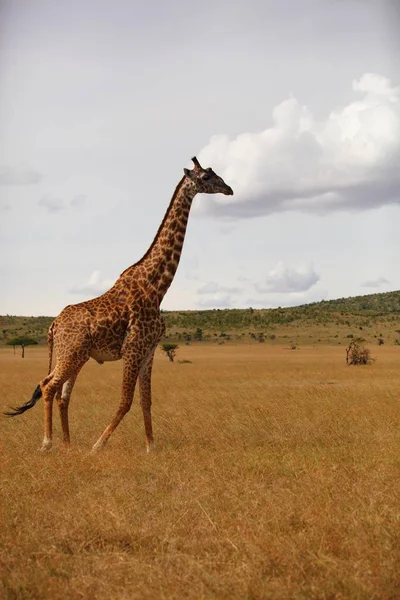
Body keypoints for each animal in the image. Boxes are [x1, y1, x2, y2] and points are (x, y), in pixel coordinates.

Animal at [4, 157, 233, 452]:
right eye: (206, 177)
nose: (229, 189)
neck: (157, 289)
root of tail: (53, 325)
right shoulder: (133, 349)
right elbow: (126, 400)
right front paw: (98, 445)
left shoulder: (149, 350)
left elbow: (146, 400)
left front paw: (151, 447)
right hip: (71, 353)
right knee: (48, 386)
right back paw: (47, 443)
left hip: (75, 355)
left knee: (60, 393)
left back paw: (67, 444)